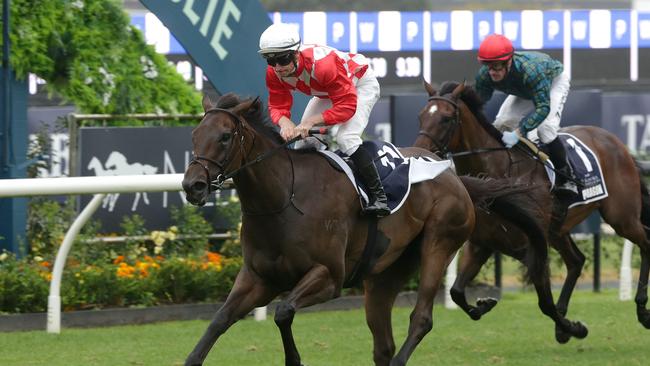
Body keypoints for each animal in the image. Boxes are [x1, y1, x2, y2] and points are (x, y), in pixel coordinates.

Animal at [180, 93, 544, 364]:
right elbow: (218, 321)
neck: (285, 198)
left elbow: (283, 312)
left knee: (421, 319)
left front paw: (294, 359)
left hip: (439, 242)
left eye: (225, 137)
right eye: (194, 136)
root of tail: (453, 176)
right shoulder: (258, 278)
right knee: (383, 342)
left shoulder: (329, 277)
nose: (192, 186)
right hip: (385, 273)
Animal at [412, 80, 648, 344]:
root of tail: (620, 146)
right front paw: (483, 305)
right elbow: (456, 291)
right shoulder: (482, 243)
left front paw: (574, 328)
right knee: (576, 261)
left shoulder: (532, 247)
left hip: (621, 217)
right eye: (421, 116)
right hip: (557, 229)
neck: (498, 171)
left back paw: (642, 309)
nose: (419, 152)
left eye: (445, 118)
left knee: (645, 243)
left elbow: (545, 304)